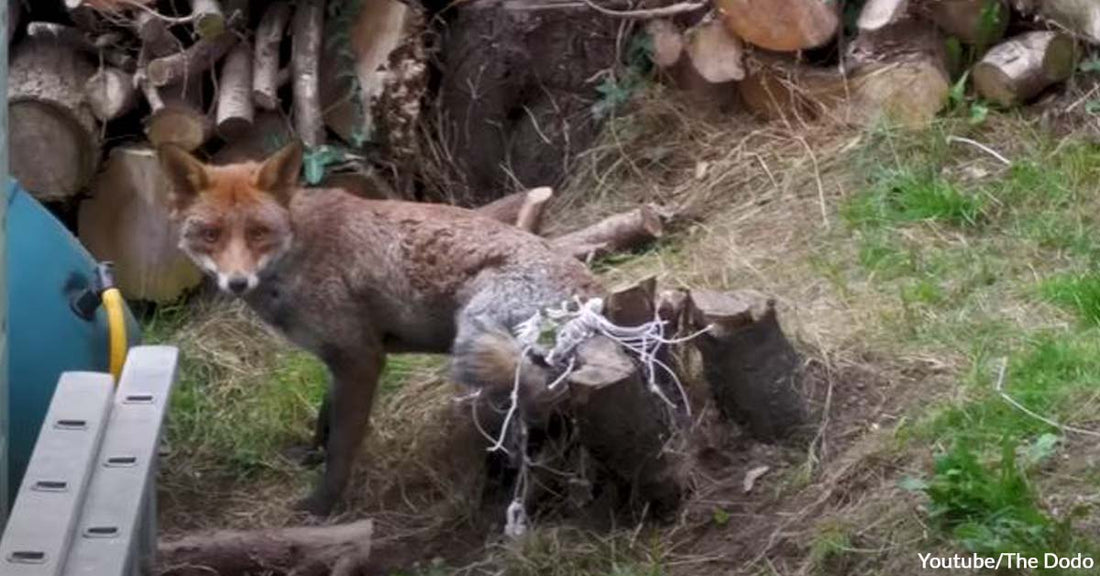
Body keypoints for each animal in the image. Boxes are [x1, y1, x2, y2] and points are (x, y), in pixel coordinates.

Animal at [158, 141, 602, 514]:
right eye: (210, 234)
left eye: (258, 233)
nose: (236, 282)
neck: (297, 252)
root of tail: (597, 296)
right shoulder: (338, 357)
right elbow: (326, 418)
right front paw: (311, 454)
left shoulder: (361, 359)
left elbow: (343, 445)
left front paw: (321, 505)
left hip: (477, 345)